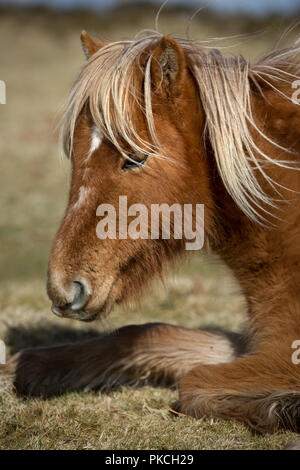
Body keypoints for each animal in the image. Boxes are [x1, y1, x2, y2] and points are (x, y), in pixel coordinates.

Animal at [1, 30, 300, 434]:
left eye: (136, 157)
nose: (63, 289)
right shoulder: (263, 345)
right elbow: (146, 336)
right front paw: (20, 370)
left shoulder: (281, 354)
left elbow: (194, 383)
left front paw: (284, 406)